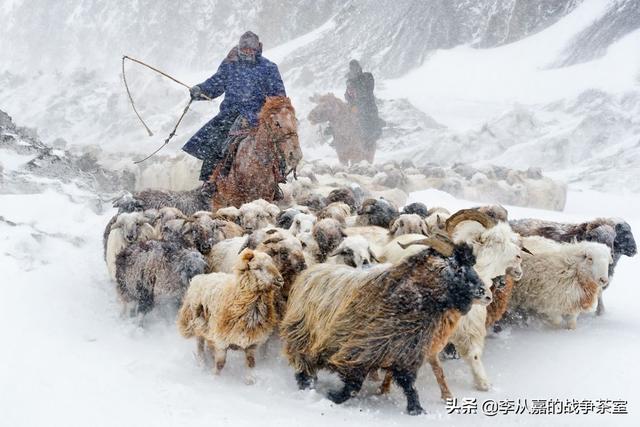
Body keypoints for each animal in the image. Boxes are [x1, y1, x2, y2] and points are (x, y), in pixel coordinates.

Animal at [280, 236, 484, 416]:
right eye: (456, 267)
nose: (483, 291)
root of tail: (311, 271)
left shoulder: (406, 353)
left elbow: (410, 385)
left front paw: (416, 410)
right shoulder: (358, 350)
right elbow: (353, 386)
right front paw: (333, 397)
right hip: (302, 335)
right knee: (303, 364)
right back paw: (307, 386)